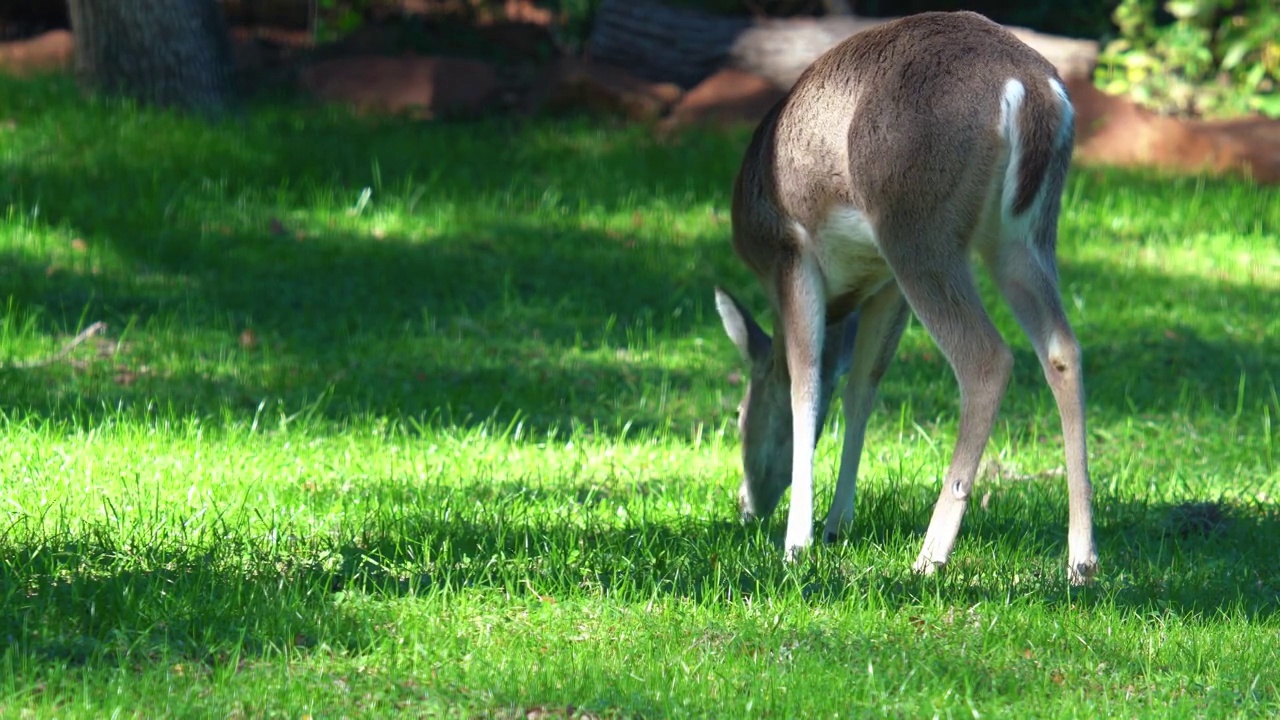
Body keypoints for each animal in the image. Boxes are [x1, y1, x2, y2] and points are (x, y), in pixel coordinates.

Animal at [711, 11, 1100, 584]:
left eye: (739, 413)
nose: (747, 506)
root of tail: (1030, 89)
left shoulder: (790, 253)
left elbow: (807, 386)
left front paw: (797, 543)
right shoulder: (884, 284)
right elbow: (861, 388)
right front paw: (836, 524)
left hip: (917, 226)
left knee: (987, 358)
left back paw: (930, 554)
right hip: (1020, 236)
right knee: (1062, 348)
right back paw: (1081, 559)